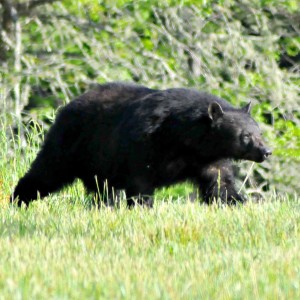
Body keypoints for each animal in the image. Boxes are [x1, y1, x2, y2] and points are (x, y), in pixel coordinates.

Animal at [10, 83, 270, 207]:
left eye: (260, 132)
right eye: (246, 135)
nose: (266, 151)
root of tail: (69, 105)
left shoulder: (209, 160)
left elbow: (220, 185)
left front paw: (237, 203)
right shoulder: (143, 144)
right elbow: (140, 180)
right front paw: (143, 206)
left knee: (102, 190)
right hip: (71, 143)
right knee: (47, 171)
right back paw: (19, 199)